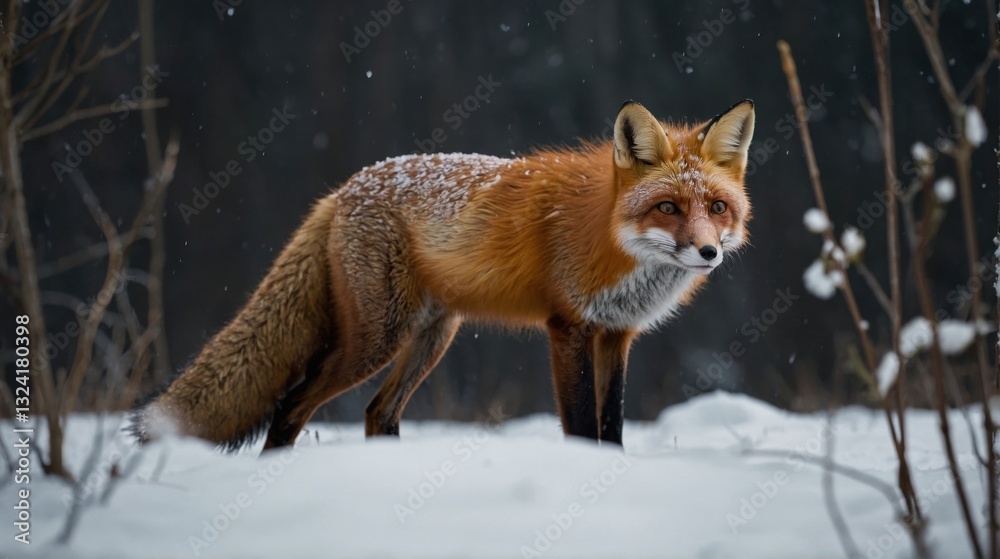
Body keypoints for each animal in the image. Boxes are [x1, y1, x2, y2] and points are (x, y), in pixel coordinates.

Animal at [132, 99, 755, 450]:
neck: (608, 237)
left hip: (431, 338)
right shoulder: (568, 329)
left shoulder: (615, 335)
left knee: (377, 414)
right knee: (291, 408)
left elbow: (614, 428)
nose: (708, 252)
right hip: (376, 340)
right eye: (668, 207)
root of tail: (344, 188)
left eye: (717, 207)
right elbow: (583, 428)